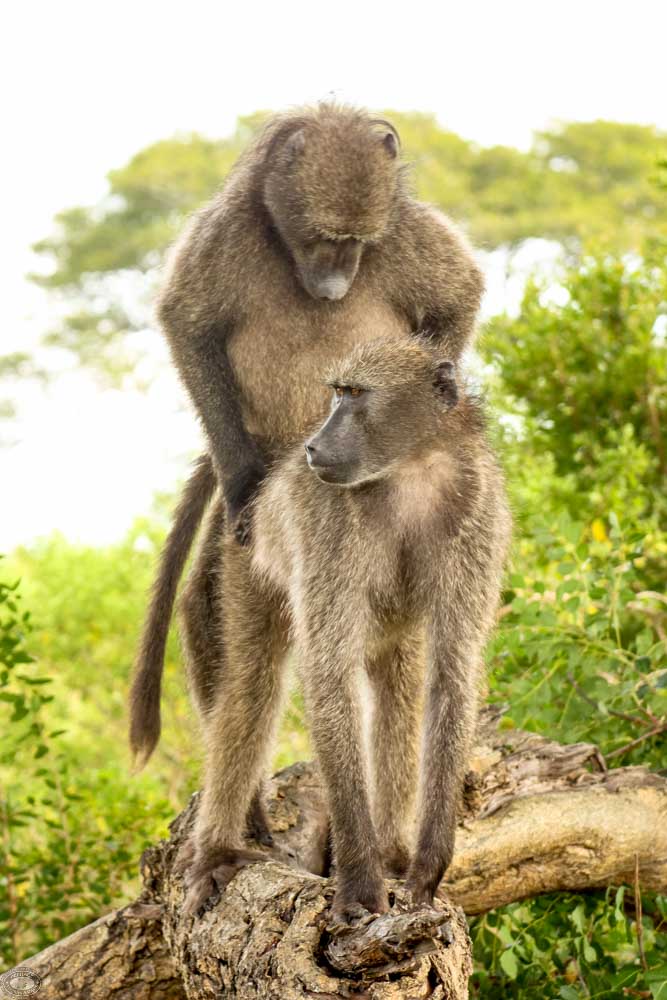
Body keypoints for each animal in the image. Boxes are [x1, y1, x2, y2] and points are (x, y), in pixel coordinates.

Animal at [129, 103, 486, 783]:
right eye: (322, 239)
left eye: (356, 245)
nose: (333, 287)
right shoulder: (224, 233)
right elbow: (187, 323)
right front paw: (240, 475)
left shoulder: (404, 231)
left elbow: (460, 297)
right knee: (211, 610)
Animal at [180, 336, 511, 922]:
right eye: (337, 392)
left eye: (355, 394)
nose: (312, 448)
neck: (413, 470)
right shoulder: (329, 525)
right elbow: (330, 671)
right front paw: (359, 881)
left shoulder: (479, 513)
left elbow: (452, 672)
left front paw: (427, 867)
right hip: (248, 561)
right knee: (253, 686)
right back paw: (217, 851)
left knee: (399, 689)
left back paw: (394, 850)